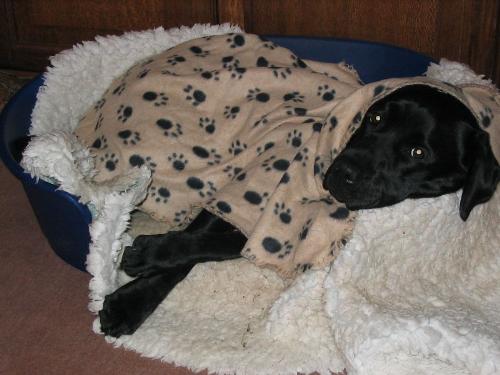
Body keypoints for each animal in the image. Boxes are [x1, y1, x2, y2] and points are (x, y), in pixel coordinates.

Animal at [98, 85, 500, 338]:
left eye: (418, 152)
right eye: (375, 118)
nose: (339, 172)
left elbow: (208, 245)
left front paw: (143, 273)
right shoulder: (242, 190)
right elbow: (194, 239)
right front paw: (135, 291)